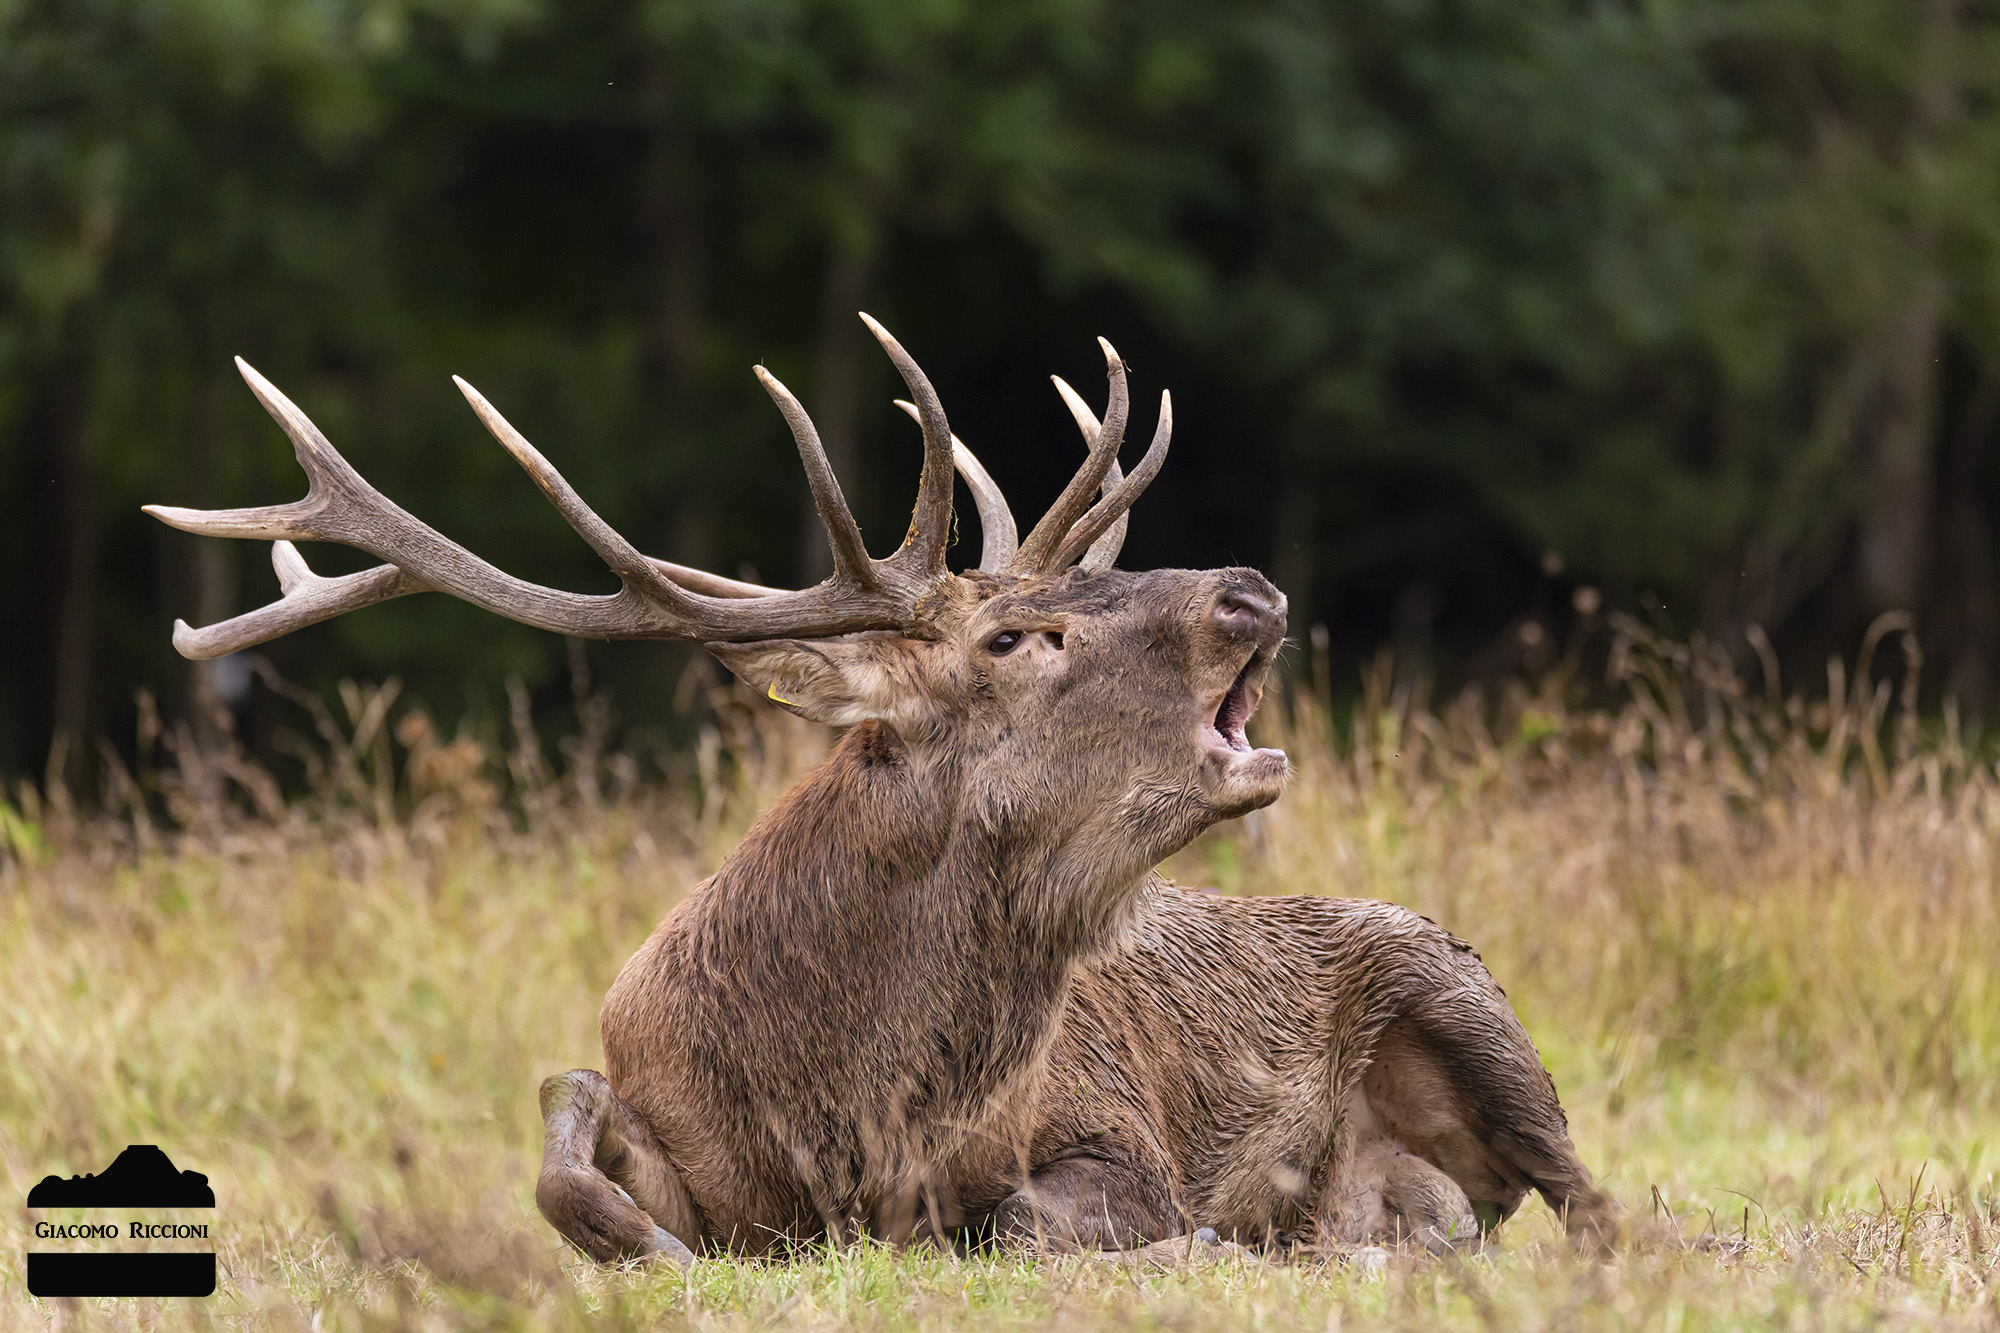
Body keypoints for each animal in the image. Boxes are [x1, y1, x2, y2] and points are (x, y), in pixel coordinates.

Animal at [146, 316, 1615, 1268]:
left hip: (1466, 991)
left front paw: (1220, 1242)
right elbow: (567, 1137)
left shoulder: (1113, 1131)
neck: (851, 1117)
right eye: (1016, 634)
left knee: (1599, 1211)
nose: (1249, 589)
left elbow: (1030, 1220)